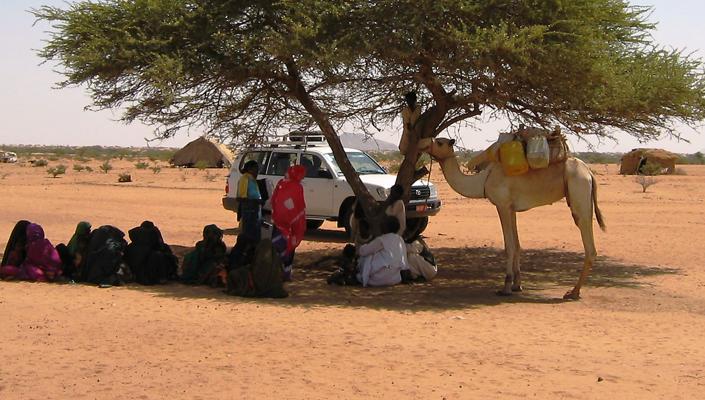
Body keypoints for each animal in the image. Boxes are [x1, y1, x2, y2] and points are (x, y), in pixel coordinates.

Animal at [424, 135, 604, 300]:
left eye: (439, 142)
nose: (424, 143)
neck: (483, 180)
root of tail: (589, 172)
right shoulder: (512, 208)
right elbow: (517, 245)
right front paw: (517, 285)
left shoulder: (502, 205)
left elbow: (509, 246)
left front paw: (506, 287)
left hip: (579, 192)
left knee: (589, 244)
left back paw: (573, 292)